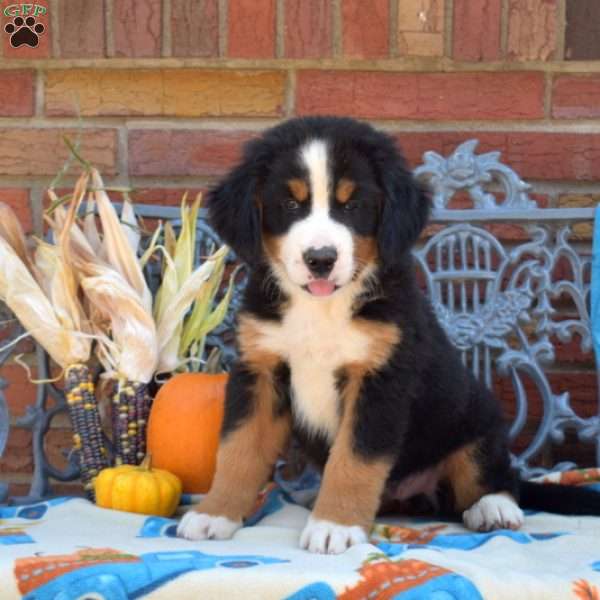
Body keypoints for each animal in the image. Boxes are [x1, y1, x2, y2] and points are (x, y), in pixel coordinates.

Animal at [177, 116, 600, 552]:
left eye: (353, 205)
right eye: (290, 204)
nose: (320, 259)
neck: (321, 309)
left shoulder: (380, 380)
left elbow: (354, 460)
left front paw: (334, 525)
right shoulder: (260, 371)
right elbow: (238, 451)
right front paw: (215, 513)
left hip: (475, 419)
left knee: (495, 476)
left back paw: (493, 508)